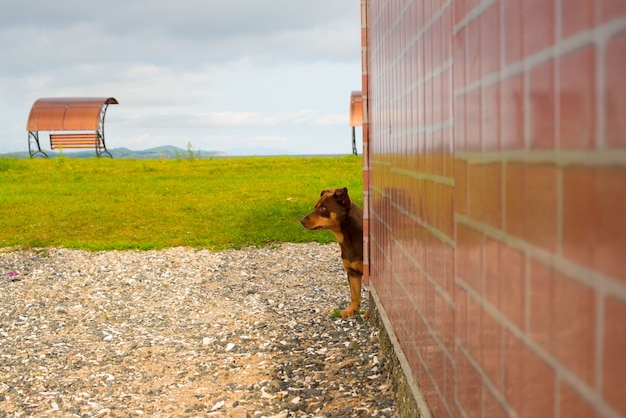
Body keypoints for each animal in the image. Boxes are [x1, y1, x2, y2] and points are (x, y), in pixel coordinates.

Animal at [300, 187, 364, 316]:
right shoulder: (353, 273)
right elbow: (355, 294)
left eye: (323, 209)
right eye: (315, 206)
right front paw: (351, 309)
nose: (301, 221)